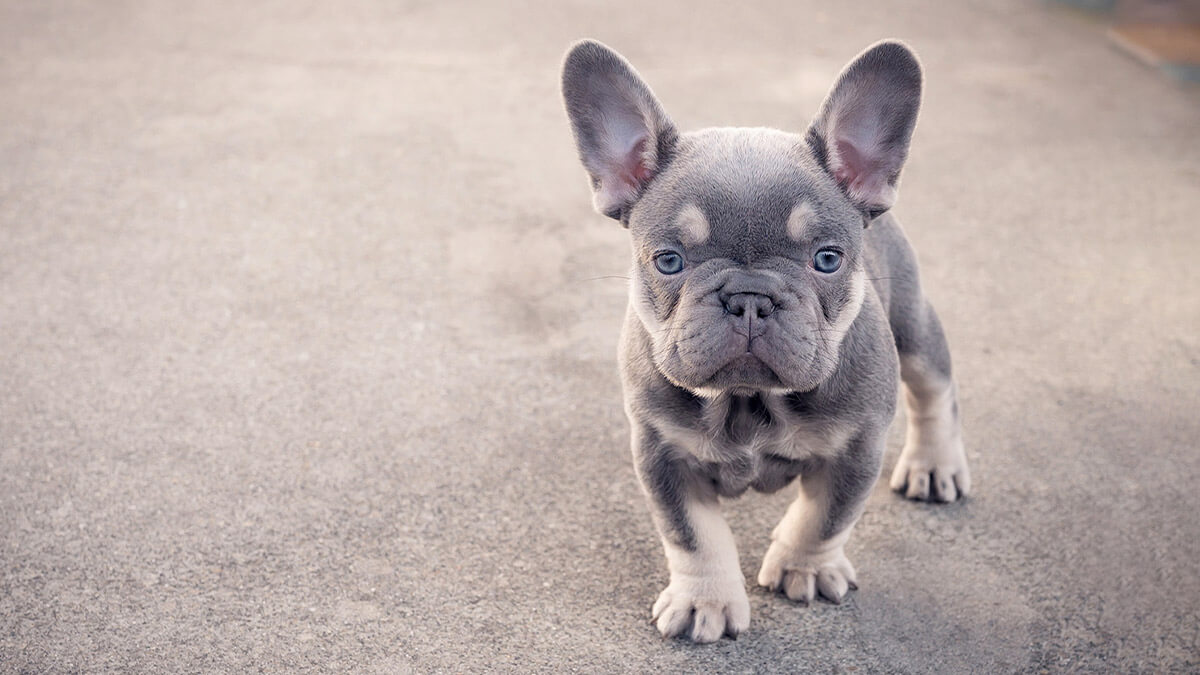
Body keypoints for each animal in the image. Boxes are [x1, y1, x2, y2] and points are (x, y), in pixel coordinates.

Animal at [564, 39, 974, 638]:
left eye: (827, 259)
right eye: (669, 261)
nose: (750, 297)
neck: (749, 400)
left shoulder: (857, 447)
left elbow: (825, 518)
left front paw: (805, 568)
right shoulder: (662, 453)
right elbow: (692, 536)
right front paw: (705, 600)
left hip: (913, 325)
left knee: (935, 388)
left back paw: (934, 464)